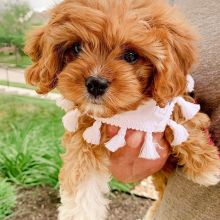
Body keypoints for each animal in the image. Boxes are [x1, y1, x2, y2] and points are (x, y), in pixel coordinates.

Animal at [24, 0, 220, 219]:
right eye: (76, 47)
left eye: (131, 55)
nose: (96, 83)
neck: (128, 114)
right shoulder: (87, 129)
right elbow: (81, 176)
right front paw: (80, 212)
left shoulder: (174, 101)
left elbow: (182, 122)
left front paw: (207, 167)